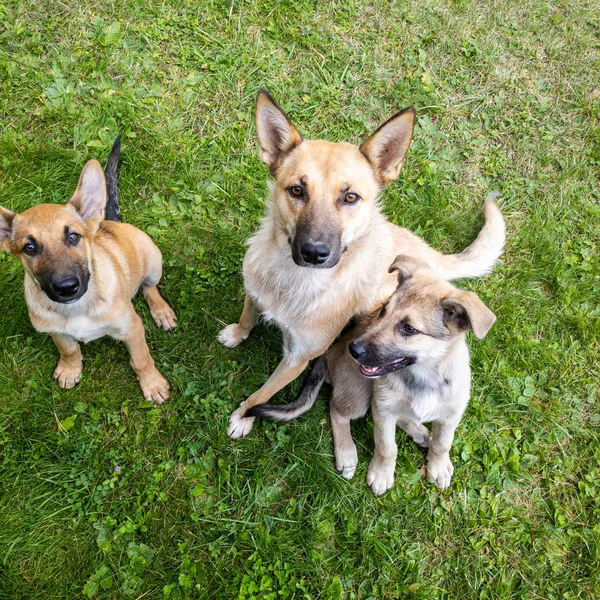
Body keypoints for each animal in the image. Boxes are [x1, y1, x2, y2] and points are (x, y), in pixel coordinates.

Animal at [0, 138, 177, 404]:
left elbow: (141, 359)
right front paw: (70, 369)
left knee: (150, 287)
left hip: (153, 260)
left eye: (73, 236)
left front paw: (152, 384)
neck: (77, 308)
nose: (66, 288)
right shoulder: (54, 330)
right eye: (29, 248)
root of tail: (109, 222)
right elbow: (69, 348)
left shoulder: (131, 327)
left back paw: (162, 311)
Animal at [218, 89, 504, 438]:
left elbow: (264, 392)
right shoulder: (254, 291)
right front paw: (237, 333)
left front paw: (244, 416)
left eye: (350, 197)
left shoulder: (298, 358)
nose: (314, 252)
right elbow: (248, 314)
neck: (292, 280)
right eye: (296, 190)